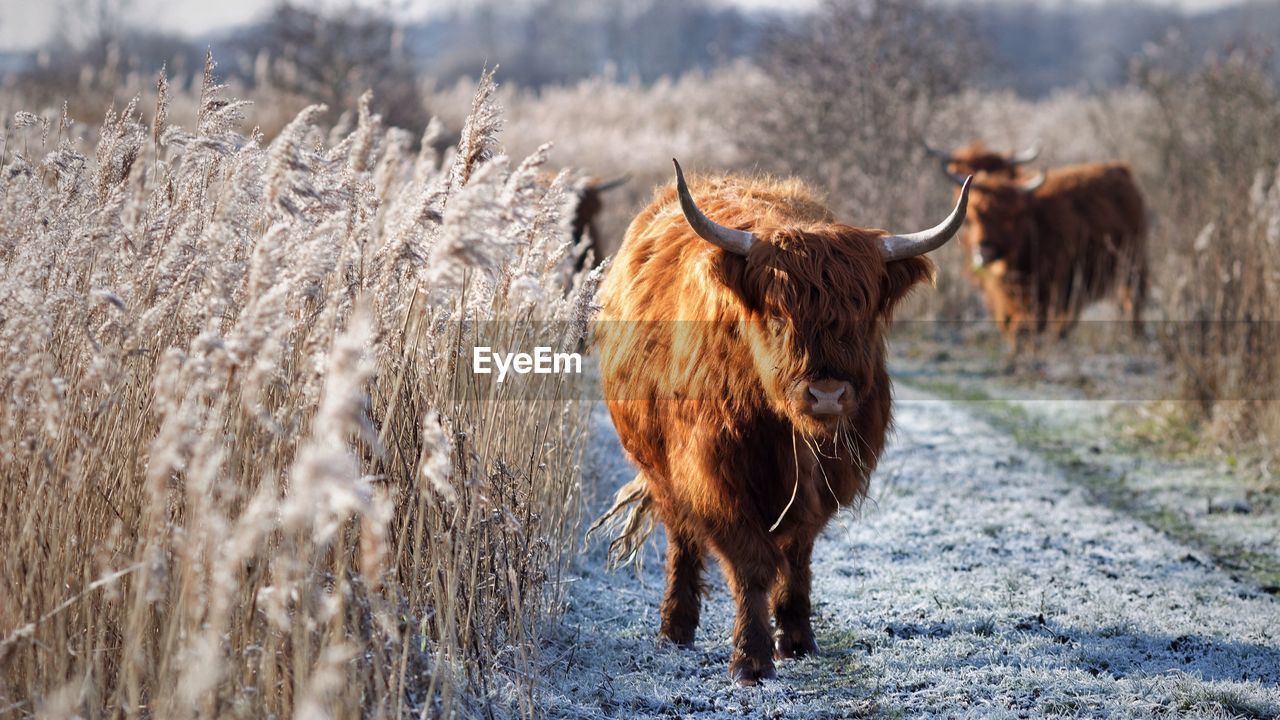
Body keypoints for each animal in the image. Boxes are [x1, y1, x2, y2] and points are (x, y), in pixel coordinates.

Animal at [588, 159, 967, 681]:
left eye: (863, 312)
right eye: (778, 312)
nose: (826, 393)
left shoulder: (825, 482)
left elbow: (797, 554)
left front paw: (798, 638)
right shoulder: (717, 479)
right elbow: (751, 564)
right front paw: (751, 658)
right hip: (661, 469)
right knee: (681, 537)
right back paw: (675, 628)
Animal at [942, 163, 1152, 353]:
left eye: (1008, 216)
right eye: (975, 215)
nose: (983, 247)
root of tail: (1119, 169)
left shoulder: (1049, 290)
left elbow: (1029, 326)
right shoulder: (1004, 296)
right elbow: (1011, 326)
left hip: (1133, 265)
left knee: (1133, 300)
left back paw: (1134, 336)